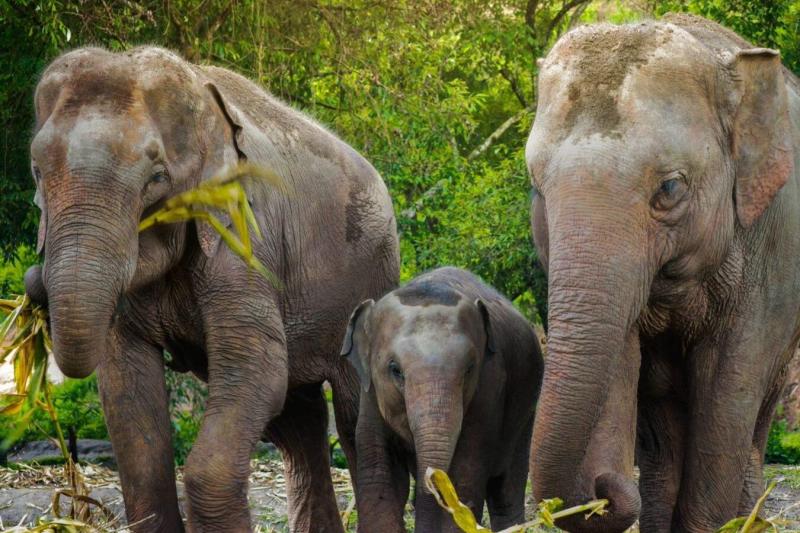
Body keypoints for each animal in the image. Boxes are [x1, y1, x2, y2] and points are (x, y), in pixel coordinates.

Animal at [23, 46, 399, 532]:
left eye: (156, 177)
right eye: (36, 170)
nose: (34, 284)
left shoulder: (245, 232)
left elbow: (257, 365)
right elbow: (126, 388)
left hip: (371, 274)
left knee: (354, 417)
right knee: (297, 421)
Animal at [340, 267, 544, 532]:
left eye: (469, 369)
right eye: (395, 369)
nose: (430, 479)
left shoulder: (489, 388)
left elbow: (464, 474)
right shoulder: (370, 394)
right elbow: (381, 474)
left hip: (526, 409)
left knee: (506, 487)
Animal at [526, 13, 800, 533]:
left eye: (670, 187)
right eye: (535, 184)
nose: (603, 487)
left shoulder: (772, 254)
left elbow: (726, 394)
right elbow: (622, 365)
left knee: (752, 421)